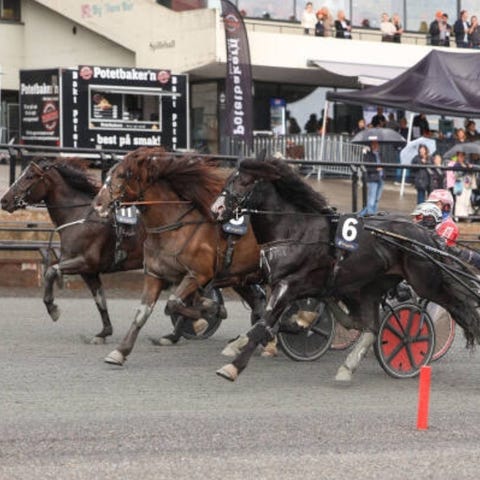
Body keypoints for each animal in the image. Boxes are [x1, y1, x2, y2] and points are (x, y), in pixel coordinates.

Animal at [0, 156, 146, 343]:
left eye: (30, 176)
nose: (4, 200)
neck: (81, 216)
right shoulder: (89, 271)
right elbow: (100, 299)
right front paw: (104, 332)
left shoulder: (84, 262)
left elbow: (50, 272)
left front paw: (52, 308)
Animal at [93, 147, 266, 365]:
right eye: (108, 174)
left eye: (122, 175)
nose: (98, 204)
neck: (173, 226)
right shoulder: (155, 275)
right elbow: (143, 313)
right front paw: (120, 351)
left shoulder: (198, 275)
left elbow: (173, 303)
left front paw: (204, 318)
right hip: (242, 277)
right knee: (259, 305)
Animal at [211, 157, 480, 382]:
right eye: (229, 178)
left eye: (243, 182)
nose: (216, 209)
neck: (296, 230)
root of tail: (424, 235)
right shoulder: (290, 285)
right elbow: (271, 320)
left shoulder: (289, 285)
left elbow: (264, 324)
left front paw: (233, 367)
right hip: (371, 285)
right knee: (371, 327)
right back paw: (347, 366)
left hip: (425, 282)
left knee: (459, 305)